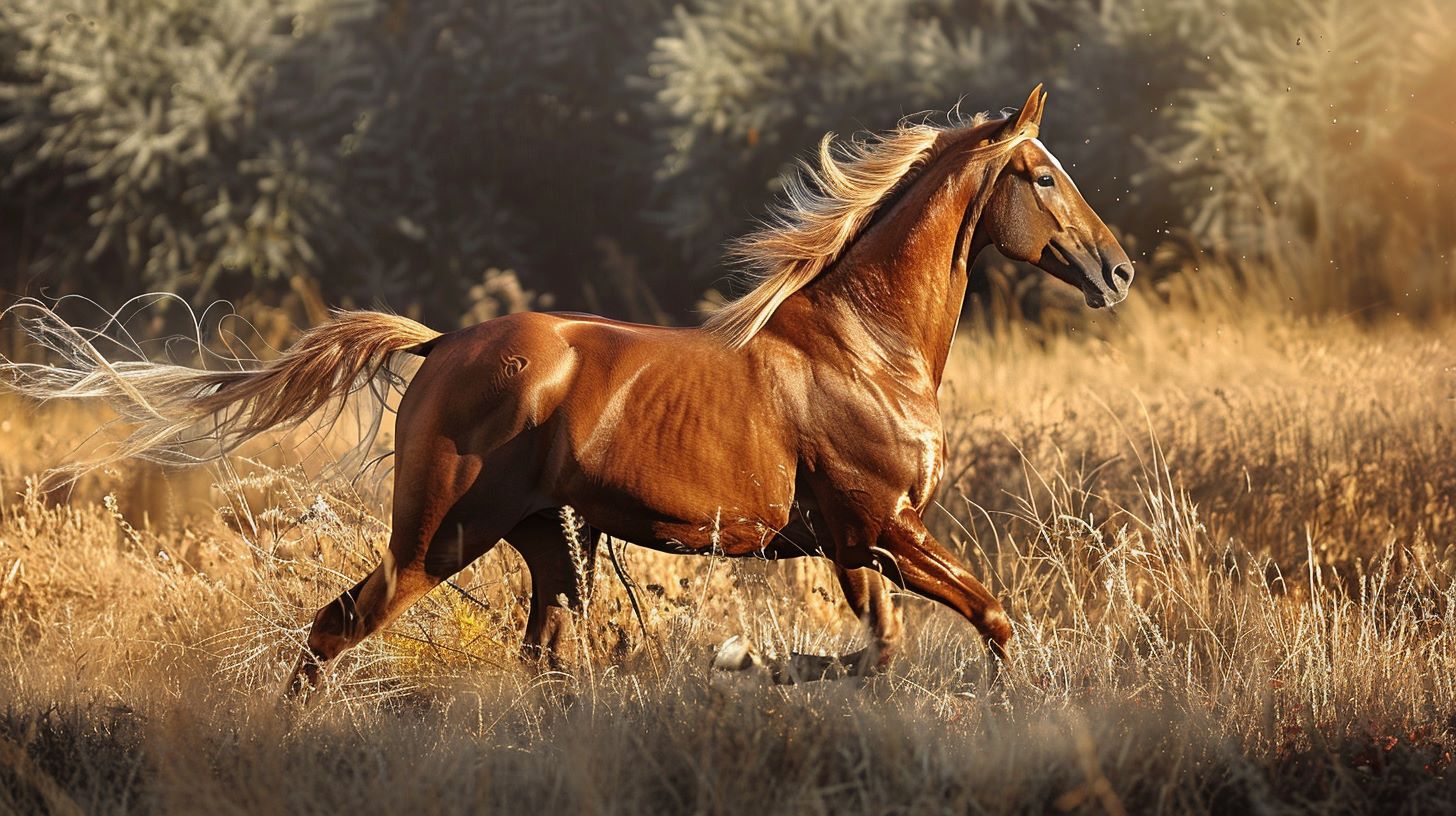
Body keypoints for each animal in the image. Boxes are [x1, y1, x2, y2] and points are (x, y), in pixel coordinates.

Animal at [0, 84, 1129, 693]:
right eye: (1040, 175)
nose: (1116, 272)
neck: (864, 349)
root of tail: (438, 345)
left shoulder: (858, 546)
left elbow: (887, 649)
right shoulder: (882, 529)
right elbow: (989, 619)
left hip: (545, 540)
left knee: (537, 660)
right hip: (439, 537)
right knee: (334, 630)